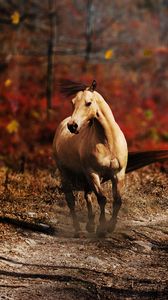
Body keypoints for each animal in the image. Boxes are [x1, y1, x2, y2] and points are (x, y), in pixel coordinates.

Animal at [53, 79, 128, 237]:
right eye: (73, 102)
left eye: (88, 103)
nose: (72, 126)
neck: (108, 143)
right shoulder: (93, 173)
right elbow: (102, 199)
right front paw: (102, 229)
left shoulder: (118, 174)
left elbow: (117, 201)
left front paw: (110, 227)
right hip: (66, 174)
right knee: (71, 201)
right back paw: (78, 230)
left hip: (86, 177)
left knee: (87, 196)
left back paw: (90, 225)